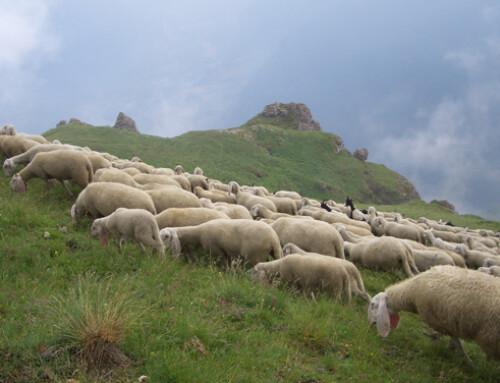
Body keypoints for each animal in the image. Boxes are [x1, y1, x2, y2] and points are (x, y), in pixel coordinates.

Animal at [368, 266, 500, 364]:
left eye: (373, 304)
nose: (370, 323)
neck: (412, 292)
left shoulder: (444, 322)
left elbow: (457, 343)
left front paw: (469, 362)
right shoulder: (449, 322)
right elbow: (456, 343)